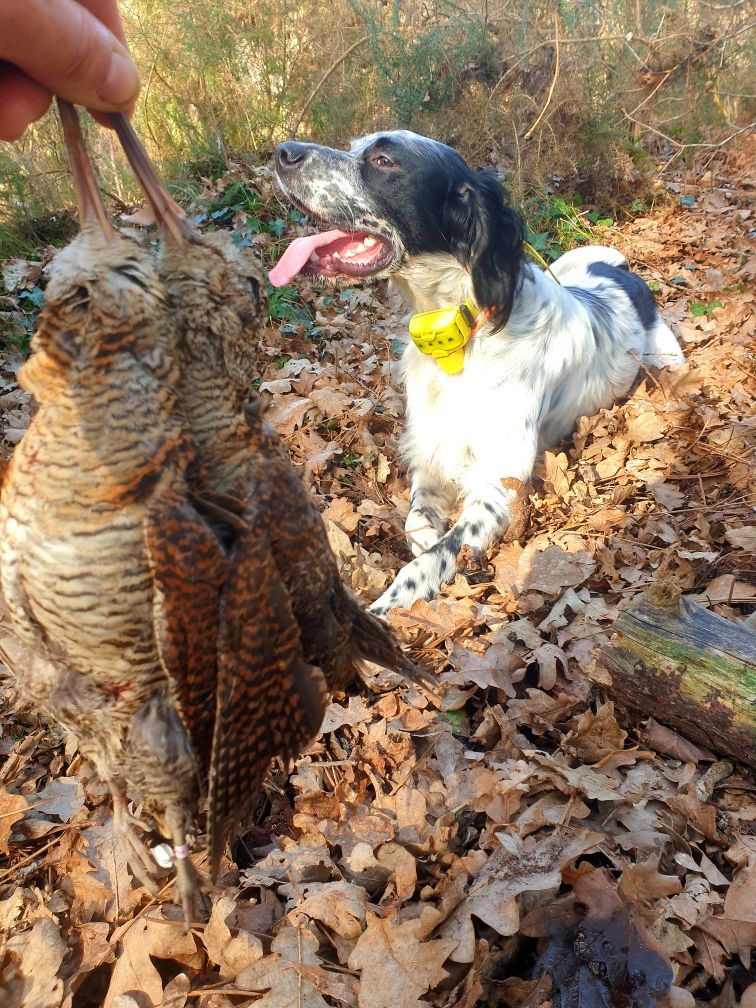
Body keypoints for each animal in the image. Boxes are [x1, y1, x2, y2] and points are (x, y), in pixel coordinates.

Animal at [272, 128, 685, 612]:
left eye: (384, 160)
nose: (282, 152)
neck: (464, 332)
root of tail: (624, 273)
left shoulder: (498, 484)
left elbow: (427, 560)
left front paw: (386, 608)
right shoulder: (431, 456)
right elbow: (417, 525)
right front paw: (425, 539)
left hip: (669, 363)